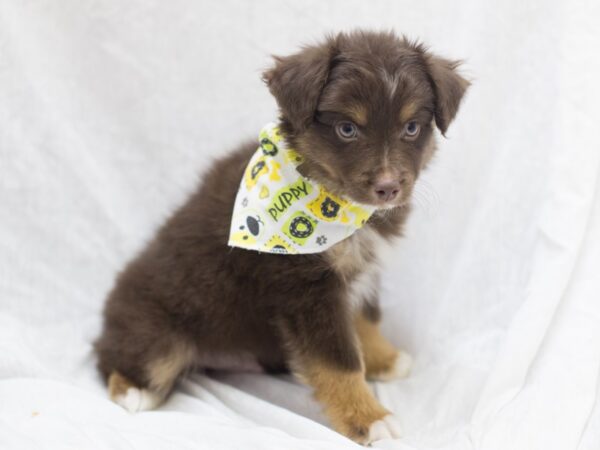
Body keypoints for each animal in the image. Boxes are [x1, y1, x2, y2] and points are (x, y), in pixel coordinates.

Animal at [95, 29, 468, 444]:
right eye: (347, 129)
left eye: (411, 128)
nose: (388, 188)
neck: (335, 203)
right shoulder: (305, 292)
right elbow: (339, 361)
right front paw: (369, 417)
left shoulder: (357, 272)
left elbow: (365, 319)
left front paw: (383, 359)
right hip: (157, 335)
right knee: (117, 357)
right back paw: (132, 391)